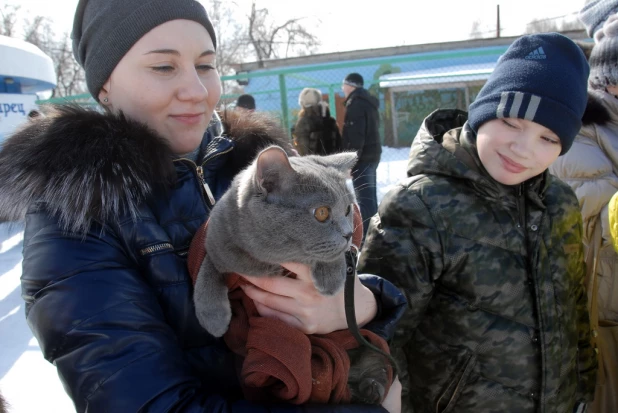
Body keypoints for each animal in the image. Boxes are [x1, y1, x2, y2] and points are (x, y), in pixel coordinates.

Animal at [192, 145, 356, 338]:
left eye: (348, 209)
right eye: (321, 212)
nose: (349, 233)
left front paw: (331, 278)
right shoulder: (216, 241)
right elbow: (207, 270)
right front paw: (214, 318)